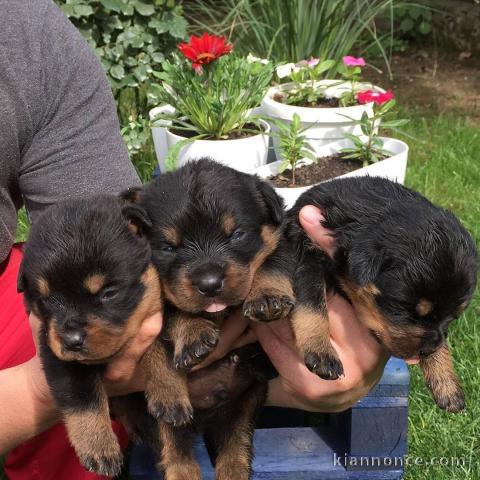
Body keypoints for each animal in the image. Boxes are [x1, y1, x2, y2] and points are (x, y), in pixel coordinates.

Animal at [123, 161, 292, 480]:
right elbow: (171, 317)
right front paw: (193, 335)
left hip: (243, 400)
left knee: (235, 445)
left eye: (236, 234)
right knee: (174, 446)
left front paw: (266, 294)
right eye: (168, 247)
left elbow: (269, 262)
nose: (210, 283)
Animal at [284, 176, 478, 412]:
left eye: (453, 317)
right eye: (404, 311)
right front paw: (321, 352)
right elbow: (312, 302)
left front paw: (447, 384)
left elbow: (442, 336)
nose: (428, 351)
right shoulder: (306, 251)